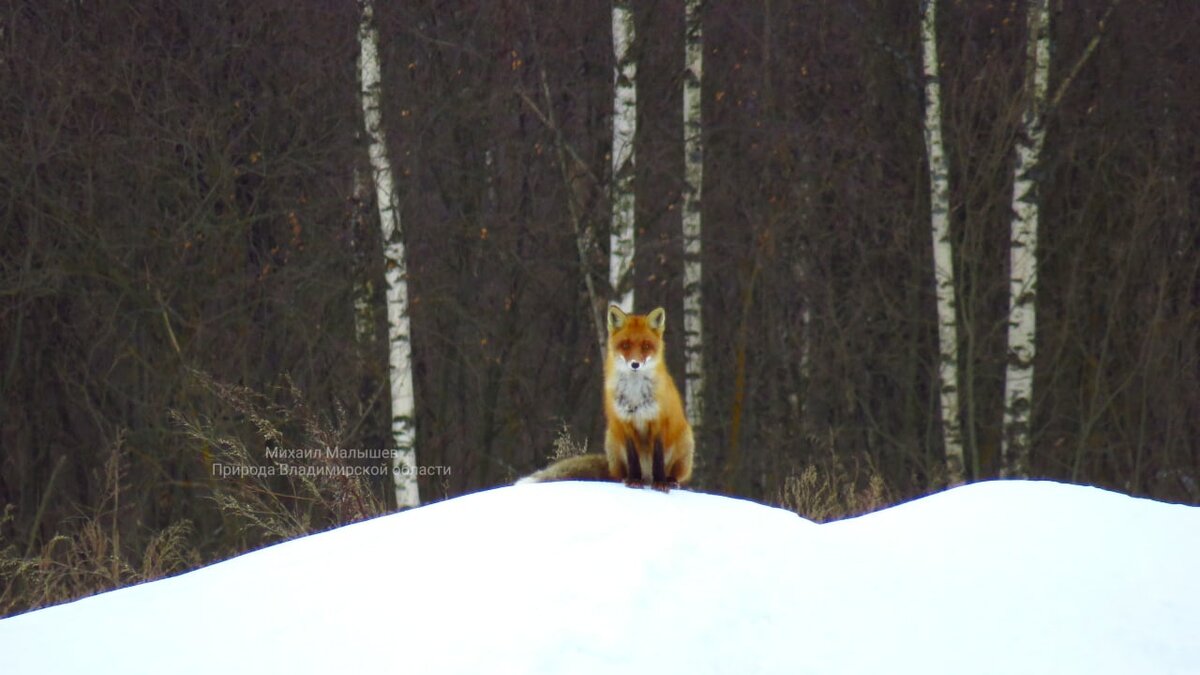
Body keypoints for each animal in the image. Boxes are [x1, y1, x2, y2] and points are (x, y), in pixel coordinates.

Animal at [604, 302, 691, 485]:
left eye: (646, 346)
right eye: (625, 345)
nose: (635, 364)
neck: (635, 394)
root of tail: (647, 477)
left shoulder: (659, 420)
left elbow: (658, 456)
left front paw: (661, 484)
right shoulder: (625, 421)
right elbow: (632, 456)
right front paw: (634, 480)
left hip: (686, 441)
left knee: (675, 473)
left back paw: (669, 480)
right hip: (611, 442)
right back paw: (629, 479)